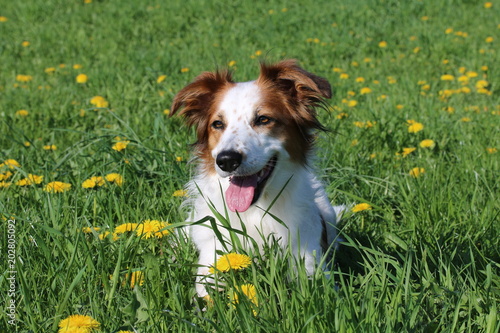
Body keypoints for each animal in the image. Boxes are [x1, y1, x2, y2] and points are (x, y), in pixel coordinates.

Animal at [172, 59, 344, 296]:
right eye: (218, 124)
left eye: (263, 119)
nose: (226, 160)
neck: (256, 211)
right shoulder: (213, 258)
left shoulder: (308, 259)